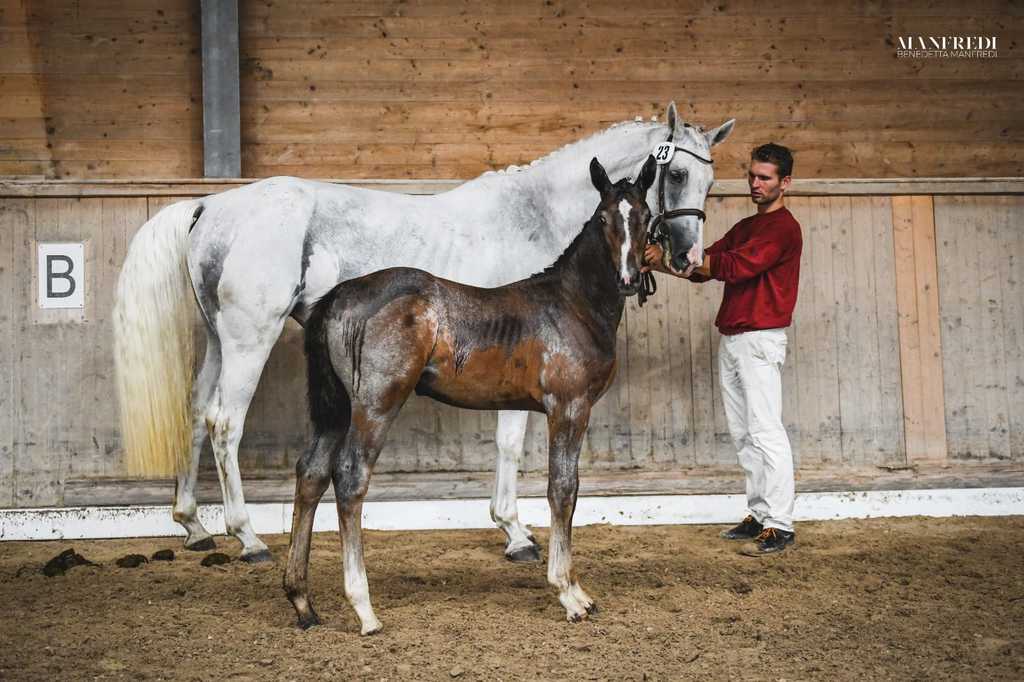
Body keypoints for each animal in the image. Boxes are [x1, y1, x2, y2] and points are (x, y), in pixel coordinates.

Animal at [113, 102, 734, 562]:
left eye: (711, 179)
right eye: (678, 173)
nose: (687, 256)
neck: (535, 219)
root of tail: (210, 205)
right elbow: (511, 443)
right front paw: (515, 534)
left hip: (220, 341)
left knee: (196, 411)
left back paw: (193, 526)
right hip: (249, 340)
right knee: (224, 423)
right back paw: (246, 537)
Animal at [285, 157, 658, 633]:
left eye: (645, 217)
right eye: (605, 219)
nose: (629, 279)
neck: (572, 303)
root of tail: (338, 294)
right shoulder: (569, 408)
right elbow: (563, 490)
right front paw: (569, 593)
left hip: (336, 409)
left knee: (311, 474)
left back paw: (302, 601)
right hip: (375, 405)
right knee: (350, 477)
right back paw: (364, 608)